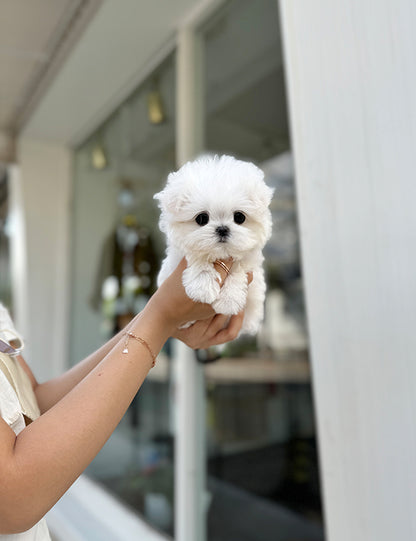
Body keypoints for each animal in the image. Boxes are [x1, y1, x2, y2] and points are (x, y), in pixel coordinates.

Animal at [154, 153, 274, 334]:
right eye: (202, 218)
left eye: (239, 217)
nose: (222, 229)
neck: (220, 254)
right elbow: (197, 257)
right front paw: (202, 287)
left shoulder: (250, 260)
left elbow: (239, 267)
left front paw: (228, 301)